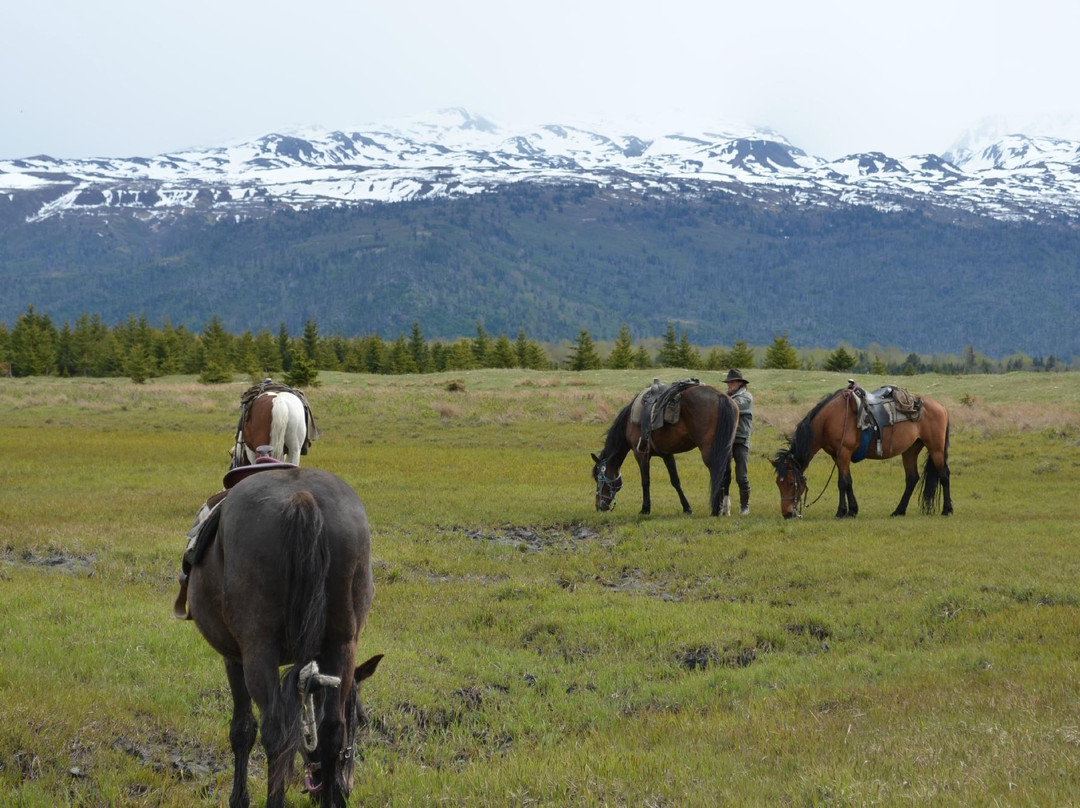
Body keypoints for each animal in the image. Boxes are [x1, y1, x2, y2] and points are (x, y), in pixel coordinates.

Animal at [187, 467, 381, 808]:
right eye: (361, 715)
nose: (345, 789)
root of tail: (301, 498)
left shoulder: (233, 658)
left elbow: (242, 730)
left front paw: (239, 798)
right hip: (343, 643)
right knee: (331, 729)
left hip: (258, 651)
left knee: (274, 731)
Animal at [591, 382, 739, 516]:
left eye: (598, 478)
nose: (599, 506)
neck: (628, 422)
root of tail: (720, 396)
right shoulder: (667, 454)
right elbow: (675, 481)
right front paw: (687, 508)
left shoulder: (641, 454)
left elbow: (645, 481)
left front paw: (645, 509)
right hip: (726, 449)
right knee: (726, 474)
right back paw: (725, 509)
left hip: (710, 451)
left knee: (717, 473)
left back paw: (716, 510)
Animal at [771, 385, 953, 519]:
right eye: (778, 483)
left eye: (790, 483)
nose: (787, 513)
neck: (829, 421)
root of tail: (942, 408)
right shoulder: (837, 456)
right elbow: (847, 482)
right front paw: (852, 510)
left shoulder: (844, 453)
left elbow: (843, 483)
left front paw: (842, 512)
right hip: (910, 450)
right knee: (912, 478)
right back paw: (898, 511)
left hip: (936, 448)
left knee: (944, 474)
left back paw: (947, 509)